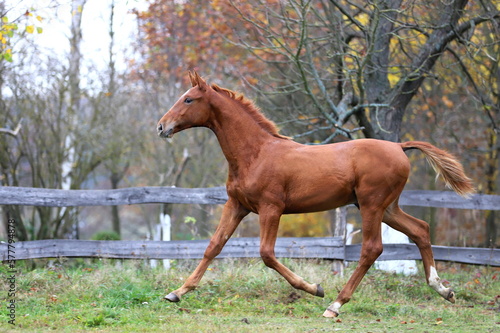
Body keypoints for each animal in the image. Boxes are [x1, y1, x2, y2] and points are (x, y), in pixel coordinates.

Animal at [155, 70, 472, 316]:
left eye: (188, 99)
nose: (161, 126)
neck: (256, 153)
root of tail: (399, 146)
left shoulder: (271, 208)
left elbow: (266, 254)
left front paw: (314, 288)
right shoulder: (236, 205)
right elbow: (213, 246)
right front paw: (177, 292)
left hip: (372, 205)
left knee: (372, 248)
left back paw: (335, 305)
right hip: (388, 207)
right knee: (420, 229)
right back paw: (443, 289)